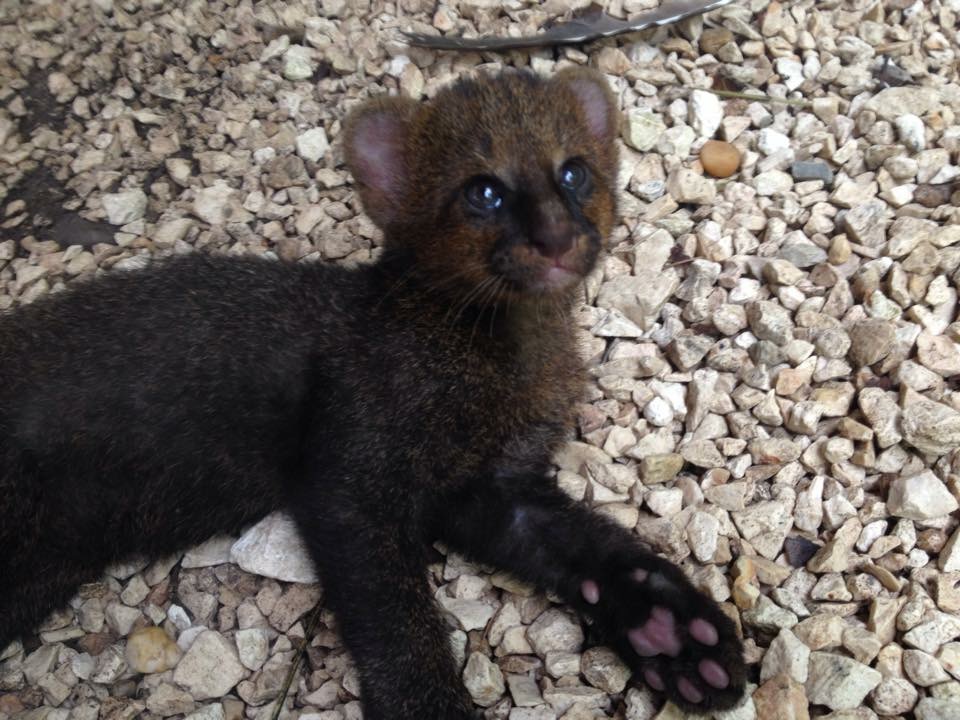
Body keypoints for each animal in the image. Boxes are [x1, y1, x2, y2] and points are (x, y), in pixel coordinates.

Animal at [0, 66, 748, 716]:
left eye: (574, 171)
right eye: (482, 191)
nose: (558, 238)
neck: (505, 357)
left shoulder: (494, 489)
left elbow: (588, 545)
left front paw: (675, 634)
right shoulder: (350, 479)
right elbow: (398, 623)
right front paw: (432, 707)